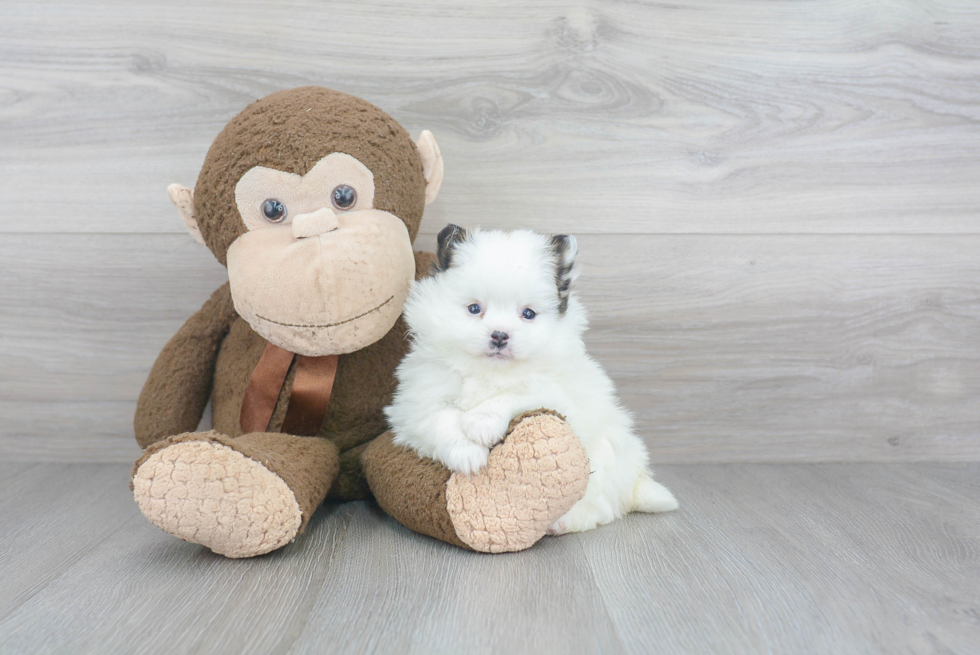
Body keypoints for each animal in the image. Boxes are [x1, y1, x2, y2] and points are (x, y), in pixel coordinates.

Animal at [386, 226, 676, 532]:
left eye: (528, 314)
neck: (489, 371)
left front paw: (481, 422)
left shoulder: (557, 394)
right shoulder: (415, 402)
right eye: (474, 309)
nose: (500, 335)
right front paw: (468, 453)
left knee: (600, 506)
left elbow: (518, 392)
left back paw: (563, 523)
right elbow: (440, 419)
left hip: (604, 459)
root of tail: (632, 483)